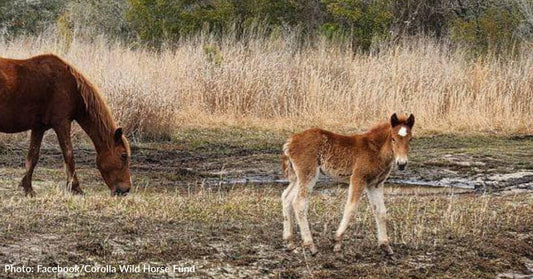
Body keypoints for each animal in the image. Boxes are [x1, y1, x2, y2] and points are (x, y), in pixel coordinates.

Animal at [0, 54, 132, 197]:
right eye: (123, 155)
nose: (126, 190)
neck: (72, 87)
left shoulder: (38, 127)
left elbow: (32, 157)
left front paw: (28, 188)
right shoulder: (62, 123)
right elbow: (69, 155)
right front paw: (76, 188)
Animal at [280, 113, 414, 256]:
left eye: (410, 139)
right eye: (393, 139)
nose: (402, 164)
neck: (375, 150)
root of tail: (290, 142)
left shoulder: (375, 184)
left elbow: (381, 211)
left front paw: (385, 245)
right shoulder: (358, 178)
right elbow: (351, 208)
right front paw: (337, 241)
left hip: (297, 177)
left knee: (286, 197)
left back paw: (289, 241)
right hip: (308, 174)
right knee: (299, 203)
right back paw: (310, 245)